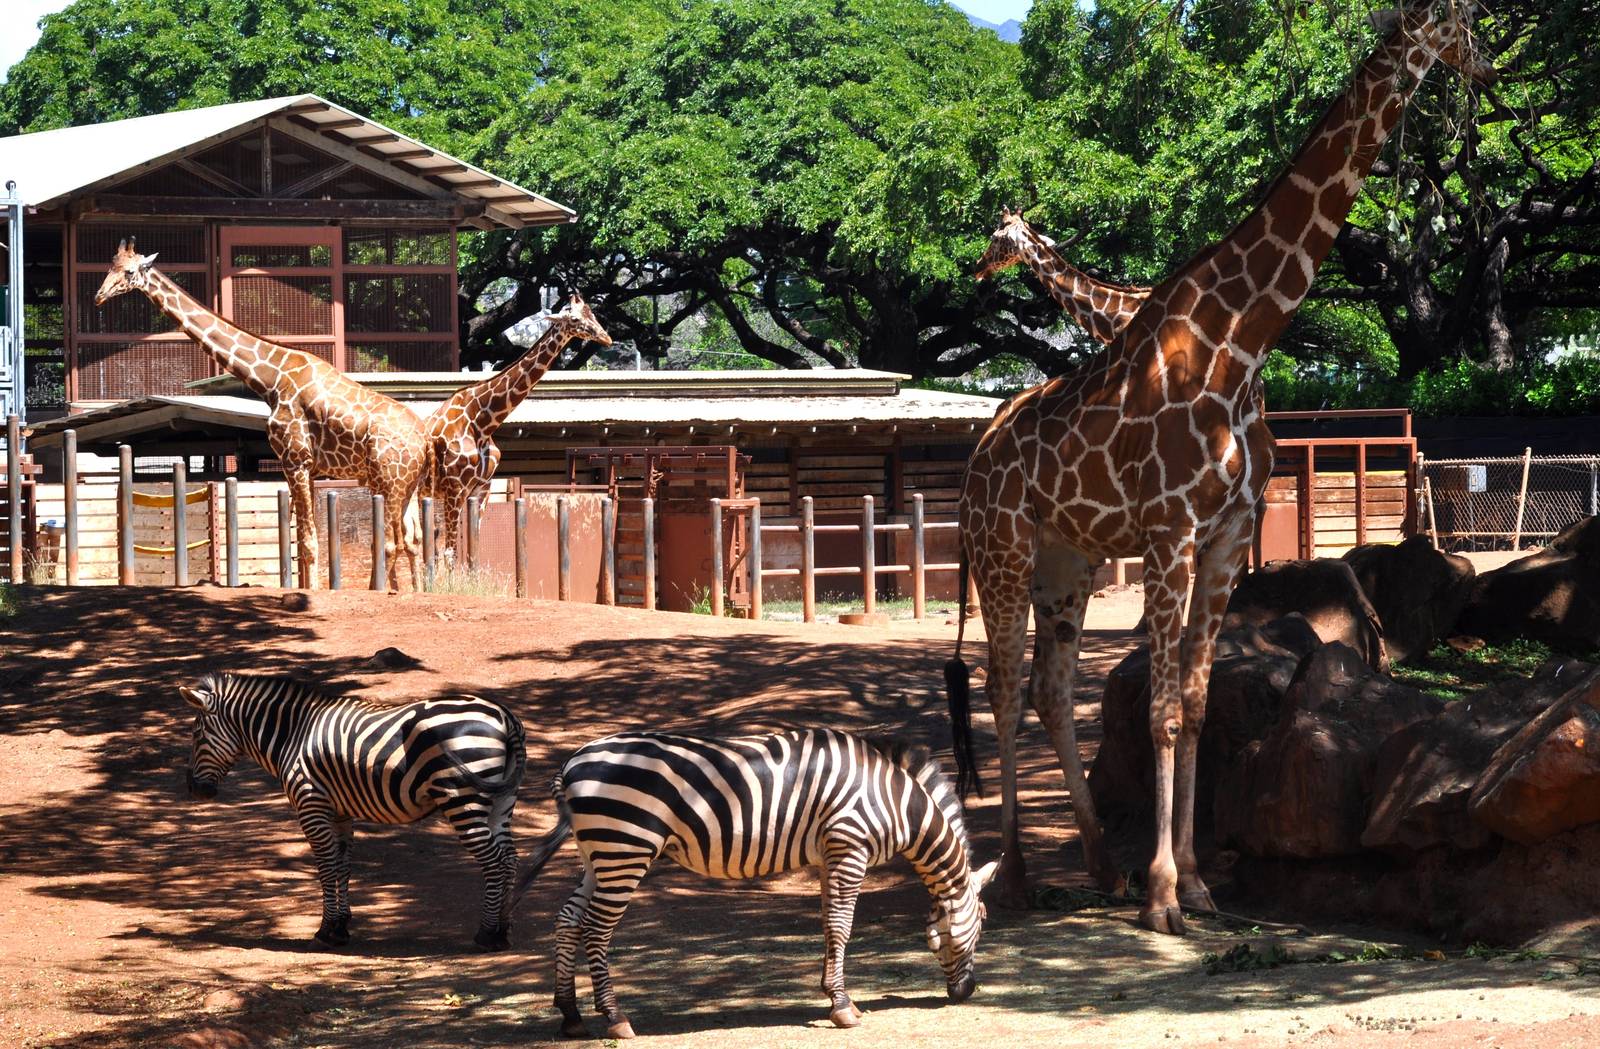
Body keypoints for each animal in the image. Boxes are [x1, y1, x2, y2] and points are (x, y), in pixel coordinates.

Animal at [94, 240, 429, 592]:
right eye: (109, 267)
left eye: (129, 272)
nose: (99, 296)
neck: (271, 379)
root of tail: (424, 443)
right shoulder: (310, 468)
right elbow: (305, 540)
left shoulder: (295, 461)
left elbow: (308, 542)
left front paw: (311, 593)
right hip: (406, 485)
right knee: (413, 539)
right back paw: (414, 591)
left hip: (390, 482)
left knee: (392, 542)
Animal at [178, 671, 526, 949]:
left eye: (196, 735)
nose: (194, 790)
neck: (293, 735)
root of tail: (504, 716)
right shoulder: (339, 810)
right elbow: (343, 864)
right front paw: (341, 926)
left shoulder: (311, 803)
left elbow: (326, 866)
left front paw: (326, 930)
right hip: (501, 800)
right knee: (509, 858)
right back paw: (504, 930)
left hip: (463, 800)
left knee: (495, 862)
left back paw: (487, 935)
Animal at [422, 295, 611, 559]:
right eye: (574, 319)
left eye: (591, 313)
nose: (607, 338)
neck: (482, 422)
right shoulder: (455, 487)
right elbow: (450, 553)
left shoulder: (481, 489)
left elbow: (473, 551)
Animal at [514, 728, 999, 1039]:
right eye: (981, 927)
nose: (966, 994)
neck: (896, 801)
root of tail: (572, 762)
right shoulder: (849, 846)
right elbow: (842, 927)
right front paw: (844, 1008)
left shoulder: (829, 856)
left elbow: (827, 926)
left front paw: (832, 995)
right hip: (625, 848)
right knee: (596, 929)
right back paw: (615, 1017)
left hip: (598, 851)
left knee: (568, 919)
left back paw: (570, 1014)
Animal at [947, 4, 1493, 933]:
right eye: (1460, 21)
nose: (1487, 69)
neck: (1242, 336)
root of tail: (979, 451)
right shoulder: (1170, 530)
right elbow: (1162, 710)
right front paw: (1166, 894)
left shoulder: (1227, 533)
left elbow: (1197, 706)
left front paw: (1195, 882)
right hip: (1004, 553)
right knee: (1003, 686)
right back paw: (1017, 875)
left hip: (1067, 560)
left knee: (1051, 688)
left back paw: (1101, 862)